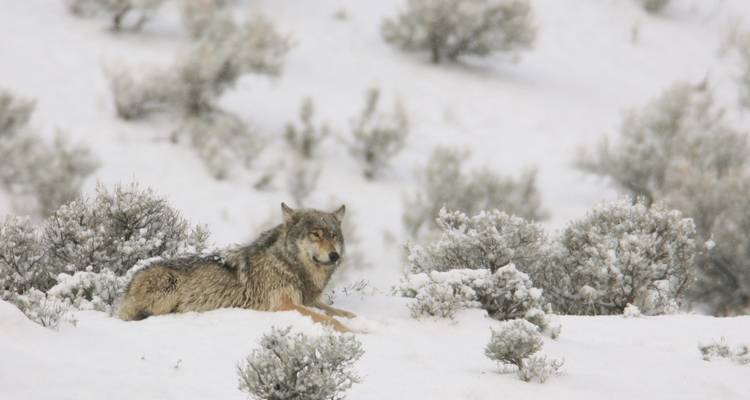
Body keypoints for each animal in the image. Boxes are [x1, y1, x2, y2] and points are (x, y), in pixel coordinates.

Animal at [117, 203, 356, 332]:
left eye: (333, 235)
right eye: (316, 234)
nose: (335, 255)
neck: (289, 265)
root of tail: (128, 286)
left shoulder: (310, 301)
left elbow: (342, 313)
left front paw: (358, 322)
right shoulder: (284, 304)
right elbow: (331, 320)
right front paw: (355, 332)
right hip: (169, 287)